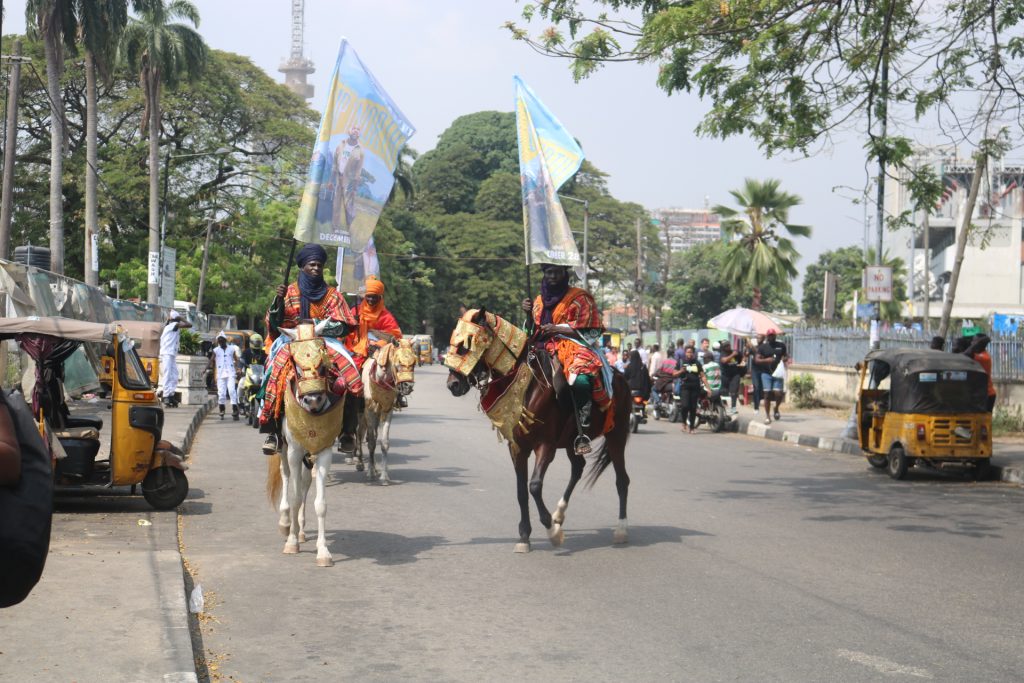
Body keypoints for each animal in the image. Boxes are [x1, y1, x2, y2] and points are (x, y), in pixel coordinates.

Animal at [262, 321, 346, 565]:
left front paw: (323, 551)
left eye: (322, 361)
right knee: (287, 476)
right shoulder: (295, 450)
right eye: (296, 363)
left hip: (311, 455)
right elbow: (295, 496)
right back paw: (286, 524)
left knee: (306, 483)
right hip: (285, 450)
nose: (313, 398)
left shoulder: (324, 451)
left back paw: (299, 529)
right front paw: (291, 542)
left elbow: (321, 504)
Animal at [352, 339, 415, 483]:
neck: (380, 378)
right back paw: (360, 462)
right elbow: (371, 441)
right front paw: (370, 473)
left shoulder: (387, 410)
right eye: (399, 363)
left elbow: (384, 442)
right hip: (361, 413)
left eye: (414, 363)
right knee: (359, 433)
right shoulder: (369, 410)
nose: (408, 386)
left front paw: (384, 476)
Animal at [446, 307, 630, 552]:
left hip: (617, 433)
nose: (453, 384)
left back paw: (621, 530)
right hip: (572, 440)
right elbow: (521, 491)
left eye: (465, 345)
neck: (529, 385)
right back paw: (559, 514)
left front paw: (552, 531)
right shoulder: (517, 447)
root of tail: (620, 377)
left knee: (622, 480)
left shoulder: (545, 445)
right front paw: (525, 536)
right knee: (578, 467)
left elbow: (534, 486)